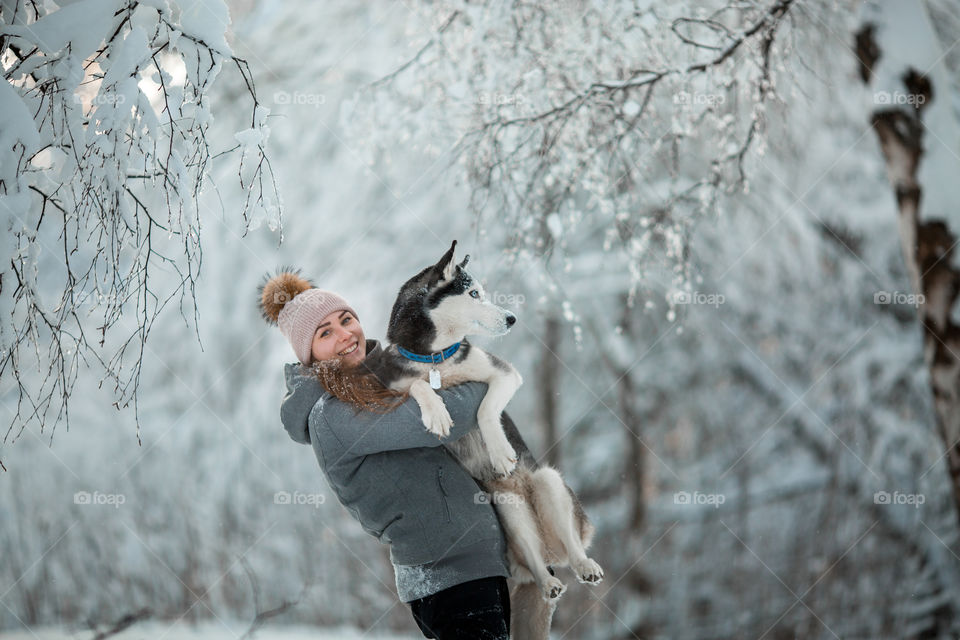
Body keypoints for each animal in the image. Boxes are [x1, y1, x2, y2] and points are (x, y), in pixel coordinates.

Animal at [368, 241, 600, 640]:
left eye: (484, 292)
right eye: (473, 293)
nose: (512, 319)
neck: (435, 358)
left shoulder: (504, 373)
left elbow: (487, 407)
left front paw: (501, 450)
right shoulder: (392, 391)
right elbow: (416, 387)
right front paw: (436, 411)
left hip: (551, 488)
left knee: (571, 544)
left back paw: (584, 564)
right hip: (507, 509)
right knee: (538, 564)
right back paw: (547, 582)